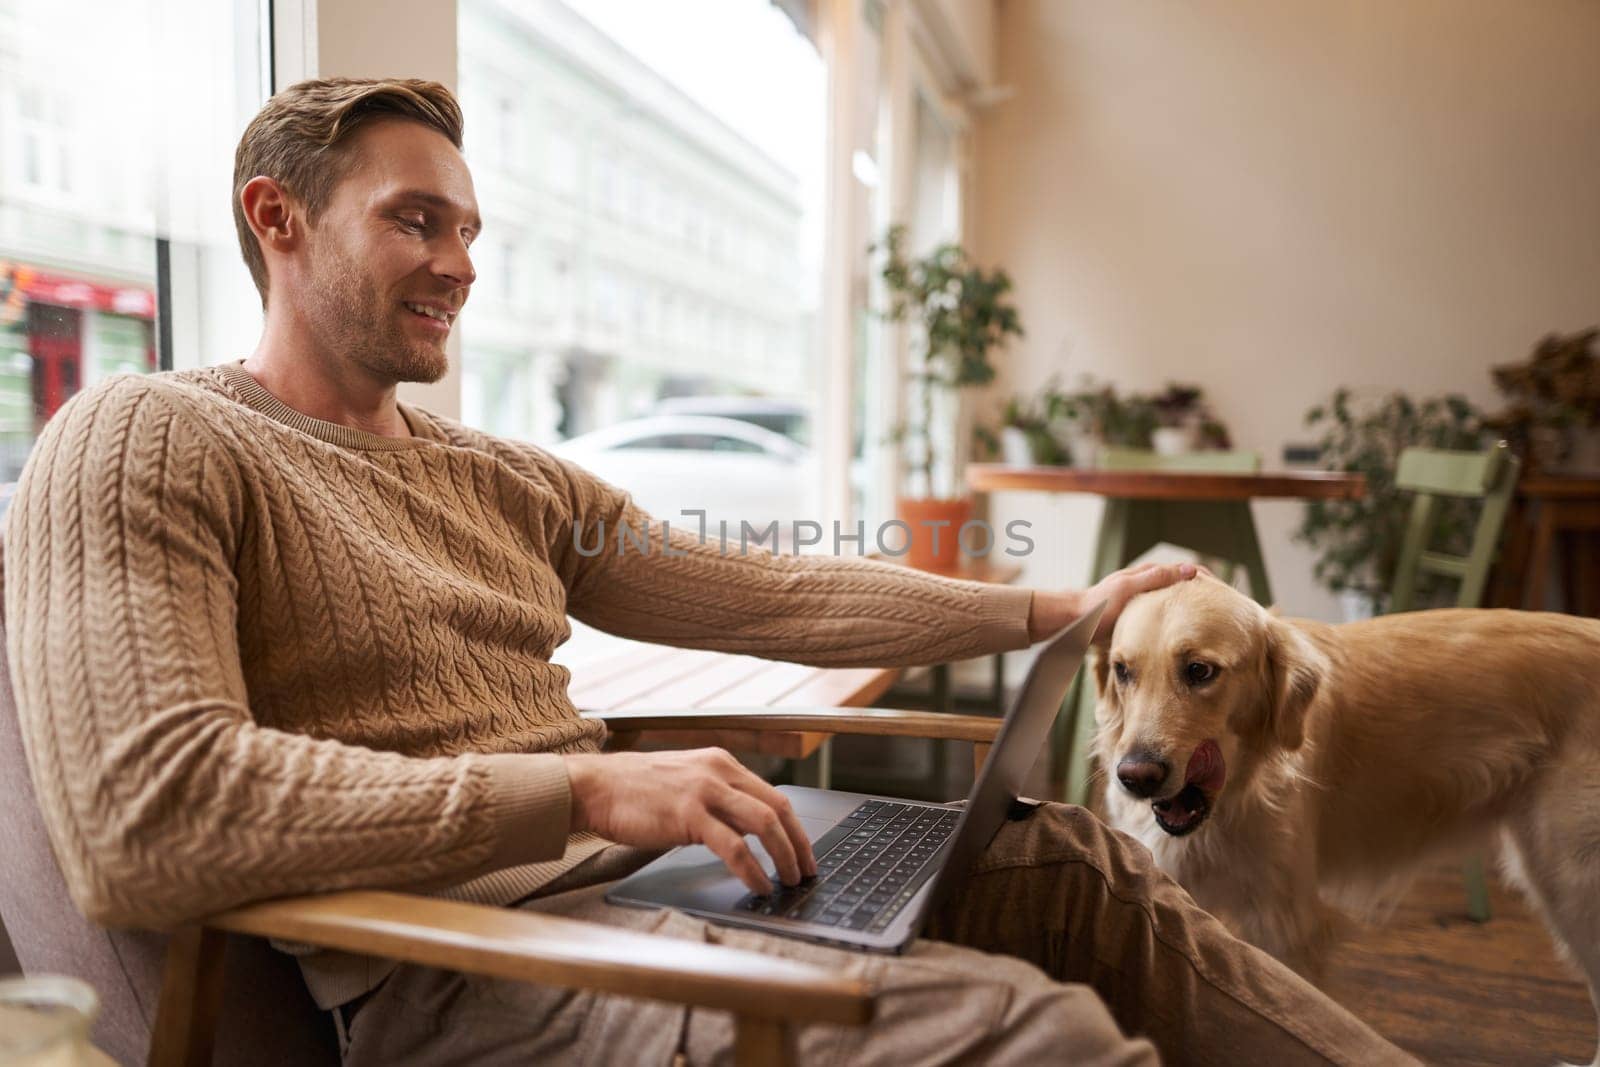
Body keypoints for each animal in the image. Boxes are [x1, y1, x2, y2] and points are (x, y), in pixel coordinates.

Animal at [1094, 575, 1593, 1062]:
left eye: (1199, 671)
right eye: (1123, 671)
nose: (1135, 777)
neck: (1239, 795)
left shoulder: (1284, 927)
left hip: (1570, 879)